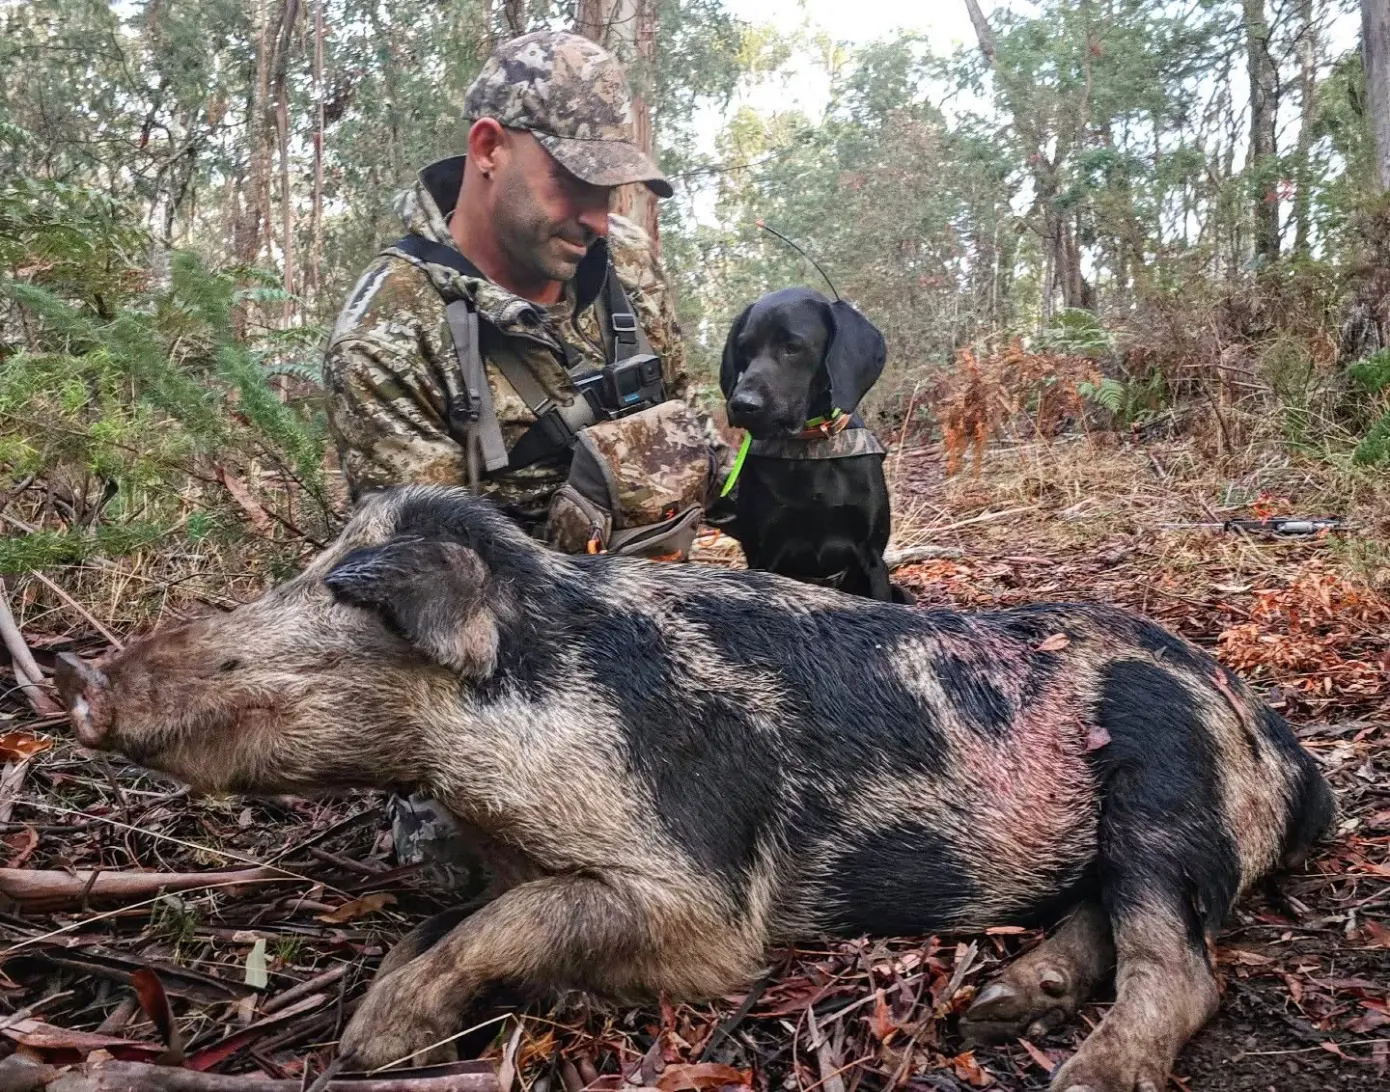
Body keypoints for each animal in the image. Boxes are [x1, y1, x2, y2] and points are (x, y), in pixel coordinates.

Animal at [55, 484, 1336, 1091]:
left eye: (321, 619)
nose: (85, 683)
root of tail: (1268, 729)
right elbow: (448, 920)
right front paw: (380, 1008)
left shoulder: (702, 895)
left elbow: (518, 923)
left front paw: (375, 1043)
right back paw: (994, 1008)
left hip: (1166, 794)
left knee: (1181, 962)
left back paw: (1082, 1072)